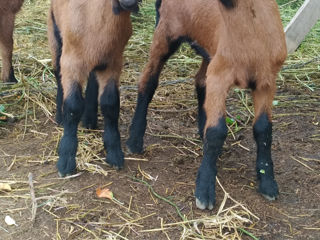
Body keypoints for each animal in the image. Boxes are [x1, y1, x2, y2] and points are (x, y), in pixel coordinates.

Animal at [48, 0, 141, 176]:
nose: (130, 2)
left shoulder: (112, 63)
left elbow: (110, 104)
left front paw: (114, 153)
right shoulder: (71, 62)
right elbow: (73, 106)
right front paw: (66, 160)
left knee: (92, 77)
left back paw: (90, 120)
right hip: (55, 33)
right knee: (57, 74)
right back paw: (60, 117)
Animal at [127, 0, 288, 210]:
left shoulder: (266, 82)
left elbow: (263, 129)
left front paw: (268, 182)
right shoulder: (220, 76)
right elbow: (217, 131)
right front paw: (204, 190)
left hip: (208, 49)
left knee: (200, 80)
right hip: (166, 32)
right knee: (148, 82)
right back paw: (134, 140)